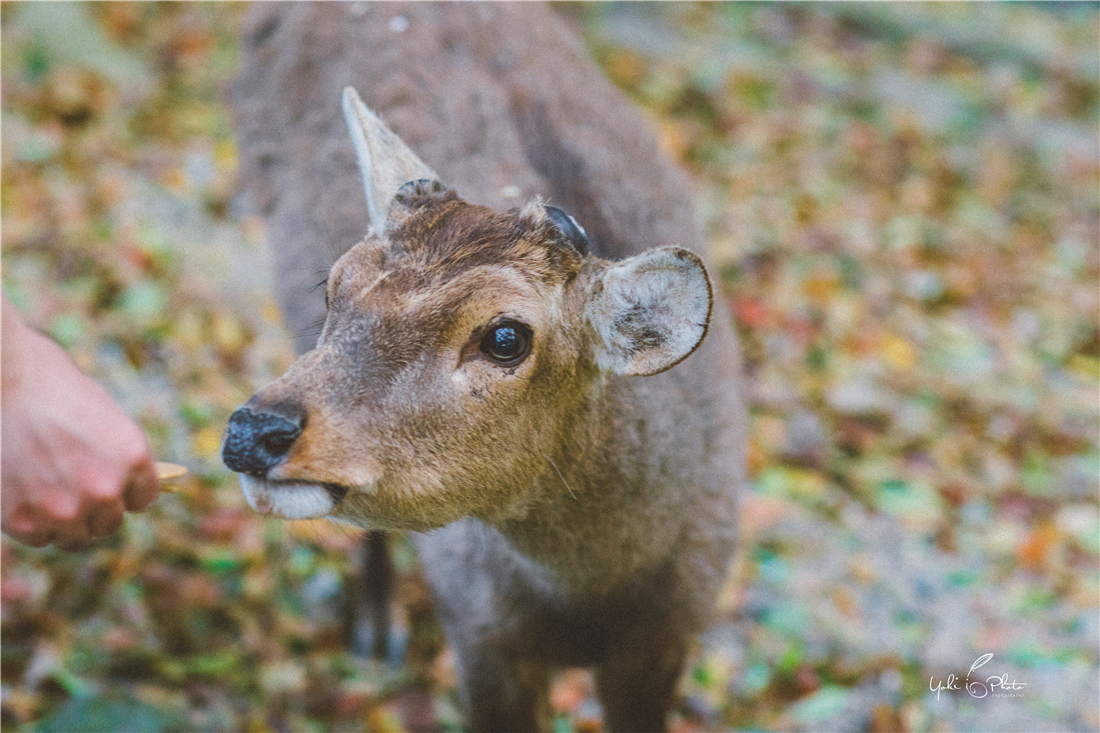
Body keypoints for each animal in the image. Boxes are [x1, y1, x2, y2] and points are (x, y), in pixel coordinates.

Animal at [223, 5, 743, 730]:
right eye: (334, 283)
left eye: (505, 337)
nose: (253, 431)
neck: (595, 601)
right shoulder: (478, 629)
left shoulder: (670, 634)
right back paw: (377, 632)